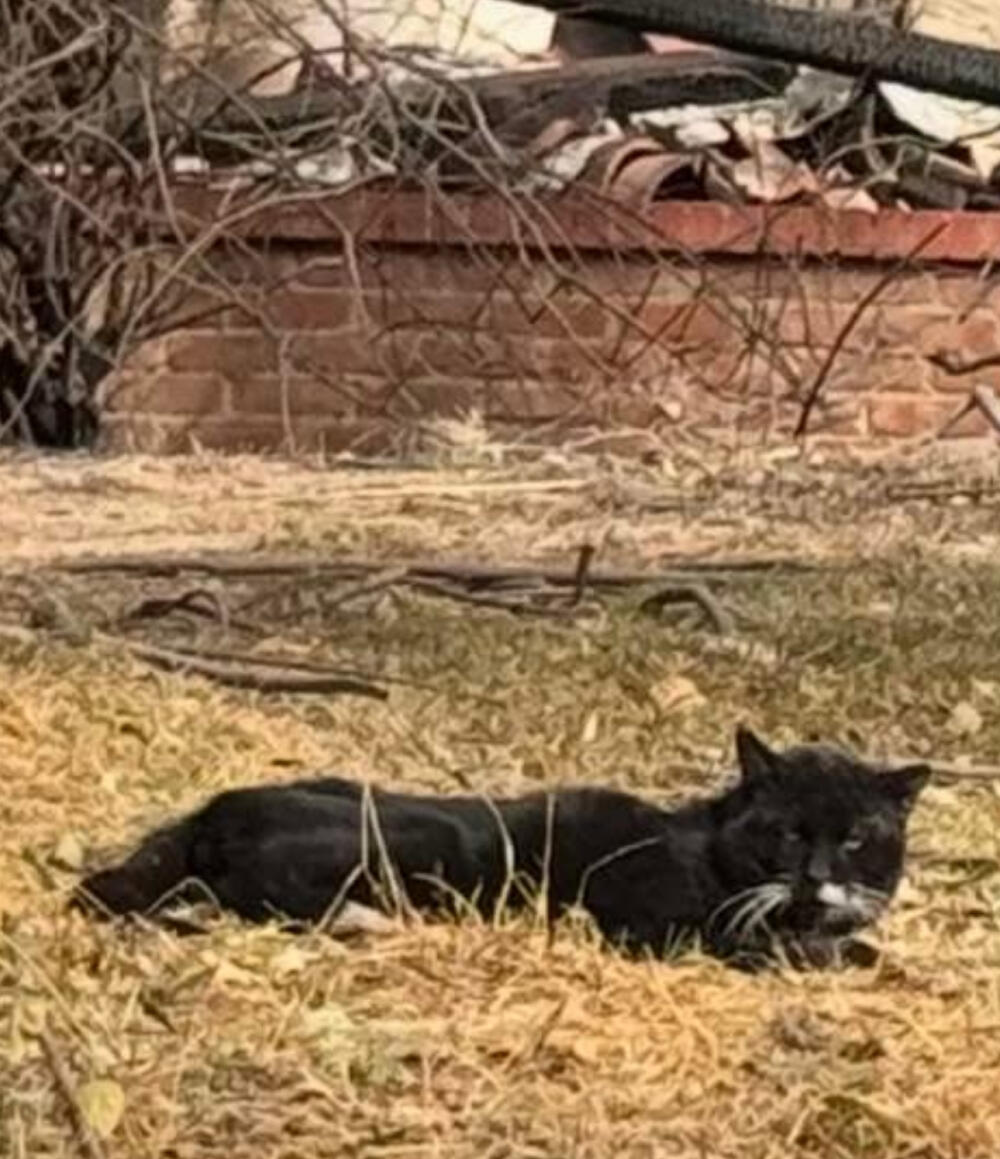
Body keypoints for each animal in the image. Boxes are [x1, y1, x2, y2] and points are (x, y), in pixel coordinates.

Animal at [72, 732, 931, 968]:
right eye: (786, 831)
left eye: (858, 837)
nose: (816, 875)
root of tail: (212, 810)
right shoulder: (659, 923)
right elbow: (783, 948)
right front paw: (855, 956)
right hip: (411, 837)